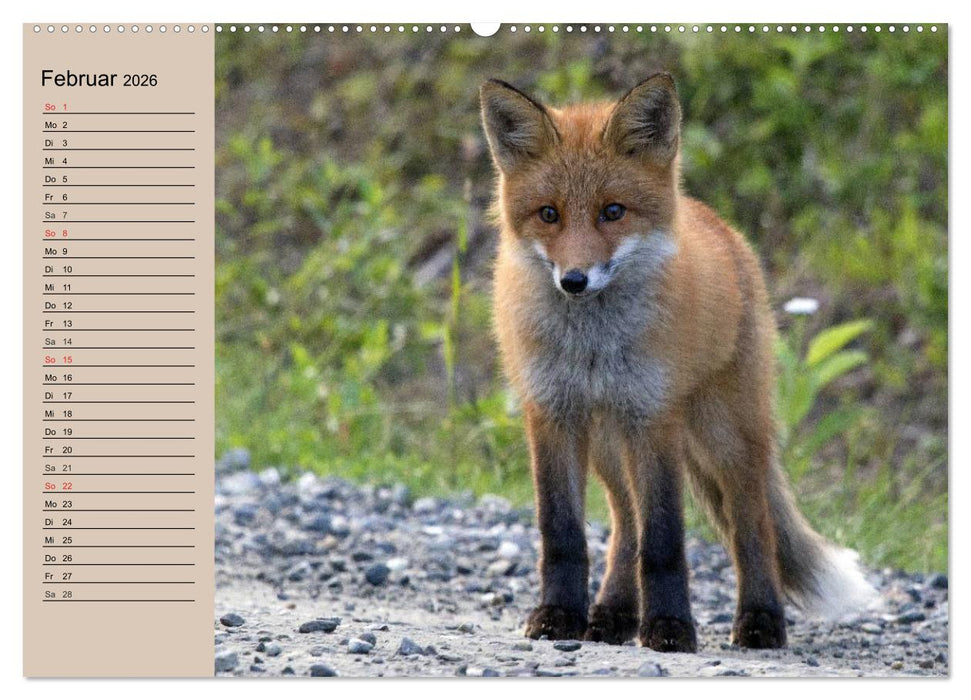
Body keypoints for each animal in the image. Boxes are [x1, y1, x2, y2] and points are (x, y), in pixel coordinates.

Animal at [479, 74, 877, 653]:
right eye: (549, 214)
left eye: (613, 211)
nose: (574, 280)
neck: (594, 345)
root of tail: (716, 222)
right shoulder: (553, 414)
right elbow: (564, 534)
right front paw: (558, 616)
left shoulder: (654, 416)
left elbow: (665, 540)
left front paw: (669, 627)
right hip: (608, 442)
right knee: (626, 525)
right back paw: (613, 615)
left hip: (723, 433)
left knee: (752, 526)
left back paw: (760, 620)